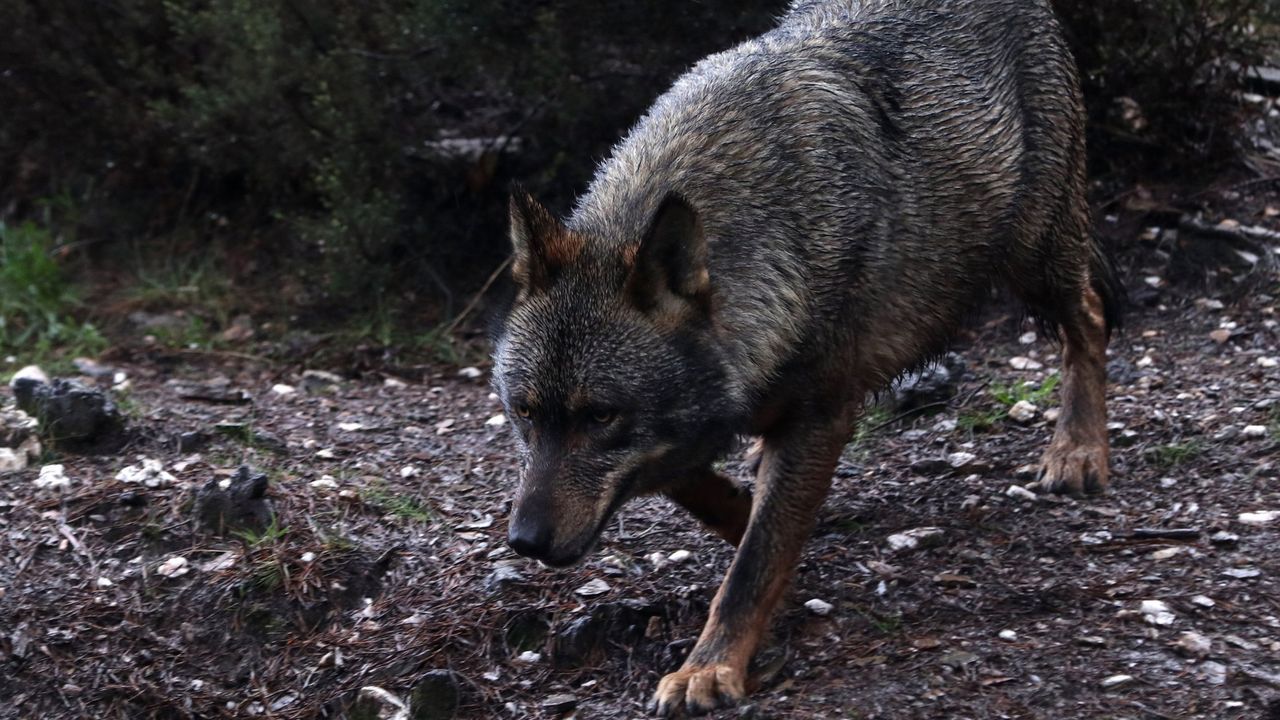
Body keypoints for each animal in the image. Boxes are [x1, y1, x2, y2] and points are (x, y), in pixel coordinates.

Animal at [491, 0, 1121, 714]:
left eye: (600, 416)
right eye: (525, 414)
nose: (525, 542)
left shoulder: (821, 415)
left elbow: (753, 562)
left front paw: (708, 668)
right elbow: (707, 493)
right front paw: (760, 515)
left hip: (1034, 255)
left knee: (1089, 320)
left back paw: (1078, 451)